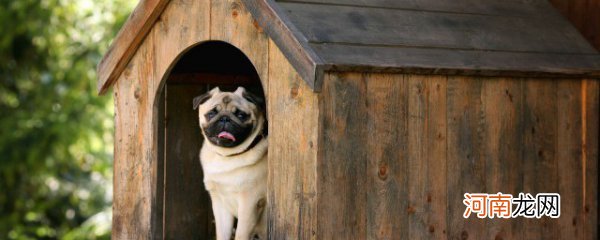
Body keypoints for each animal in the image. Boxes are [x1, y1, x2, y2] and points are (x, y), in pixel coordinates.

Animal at [192, 86, 268, 240]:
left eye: (241, 115)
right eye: (211, 114)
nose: (225, 118)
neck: (227, 156)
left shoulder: (249, 204)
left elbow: (241, 234)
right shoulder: (220, 204)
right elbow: (222, 233)